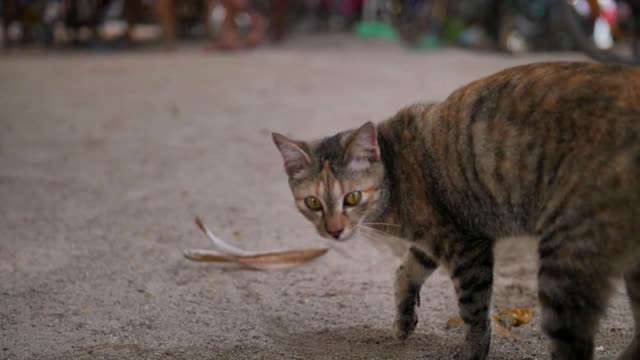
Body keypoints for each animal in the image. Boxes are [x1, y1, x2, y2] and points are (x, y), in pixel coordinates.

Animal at [272, 62, 640, 360]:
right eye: (313, 203)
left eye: (351, 198)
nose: (334, 231)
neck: (395, 171)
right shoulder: (432, 241)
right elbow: (406, 271)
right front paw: (404, 320)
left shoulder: (464, 244)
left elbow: (473, 309)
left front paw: (472, 350)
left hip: (565, 262)